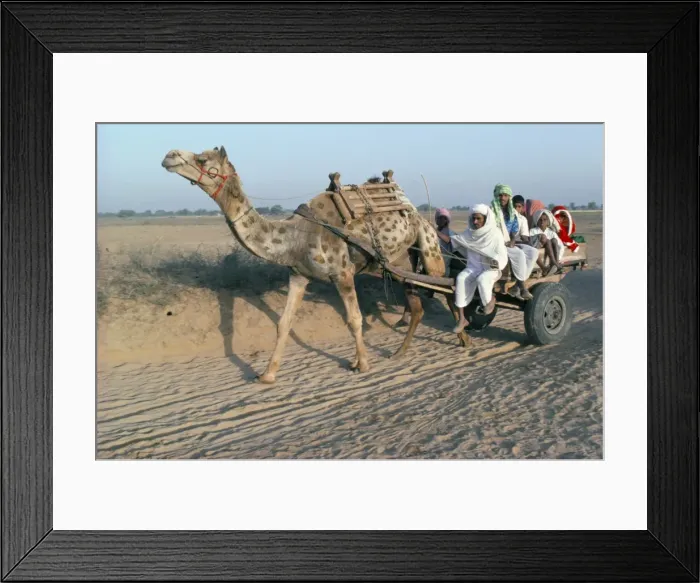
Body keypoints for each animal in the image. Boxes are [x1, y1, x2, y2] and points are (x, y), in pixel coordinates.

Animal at [161, 145, 465, 383]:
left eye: (203, 159)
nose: (169, 156)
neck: (294, 237)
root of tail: (414, 210)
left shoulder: (343, 273)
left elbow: (354, 319)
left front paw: (363, 364)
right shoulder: (298, 275)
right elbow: (283, 323)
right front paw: (267, 375)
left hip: (429, 246)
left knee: (448, 287)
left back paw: (464, 337)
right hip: (401, 262)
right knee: (417, 306)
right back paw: (401, 352)